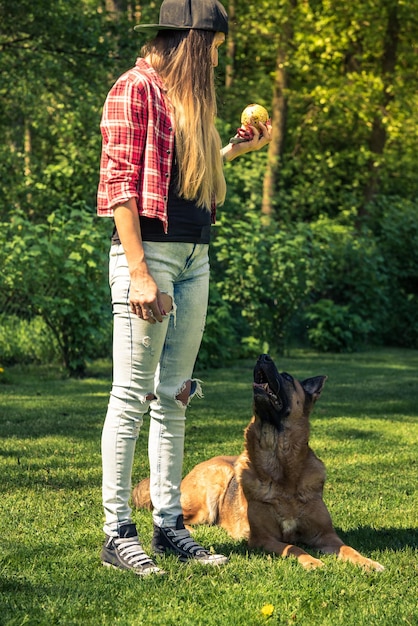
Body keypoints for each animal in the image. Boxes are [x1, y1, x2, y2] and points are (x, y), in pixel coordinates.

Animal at [134, 354, 386, 568]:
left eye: (287, 377)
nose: (262, 356)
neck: (282, 467)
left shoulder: (325, 535)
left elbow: (348, 548)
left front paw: (368, 563)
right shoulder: (263, 538)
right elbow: (294, 547)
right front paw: (313, 562)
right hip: (210, 492)